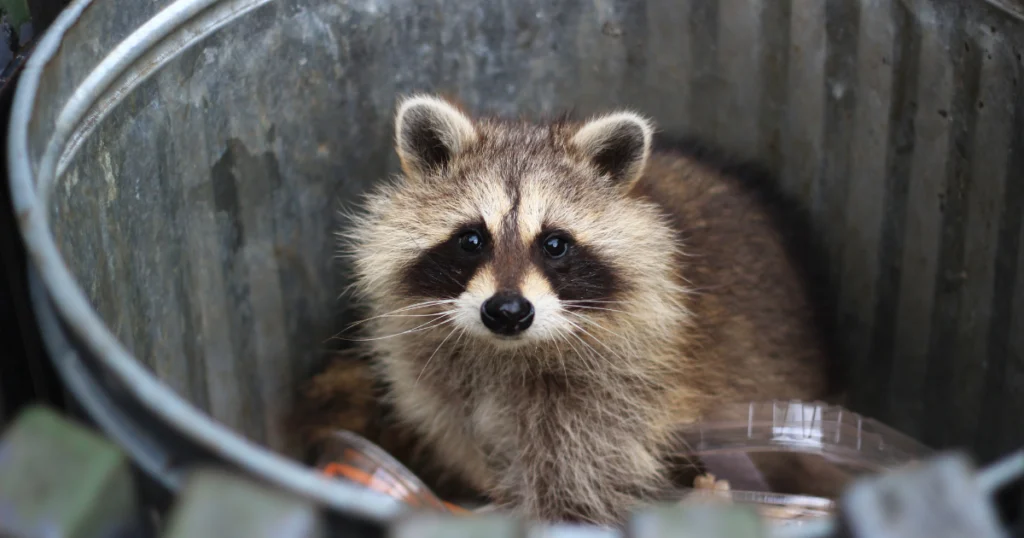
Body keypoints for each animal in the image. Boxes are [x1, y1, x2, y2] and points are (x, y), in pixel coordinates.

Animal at [309, 94, 831, 522]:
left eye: (555, 244)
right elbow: (465, 438)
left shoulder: (619, 395)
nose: (507, 311)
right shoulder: (438, 383)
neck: (506, 352)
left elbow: (578, 483)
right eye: (471, 240)